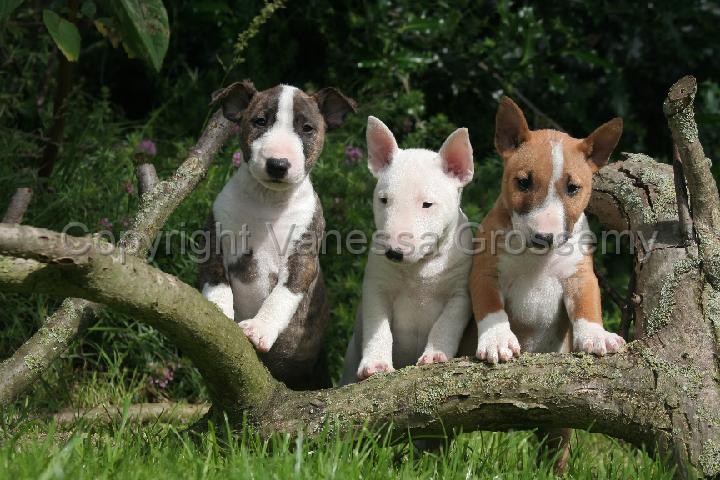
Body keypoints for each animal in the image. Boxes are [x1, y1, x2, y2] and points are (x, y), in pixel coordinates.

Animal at [198, 80, 356, 390]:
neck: (268, 200)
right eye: (260, 121)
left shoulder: (302, 260)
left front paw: (259, 328)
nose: (278, 164)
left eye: (307, 128)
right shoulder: (214, 246)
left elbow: (280, 297)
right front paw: (221, 317)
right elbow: (217, 284)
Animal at [341, 116, 474, 384]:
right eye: (383, 200)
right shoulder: (376, 288)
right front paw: (376, 365)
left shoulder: (460, 292)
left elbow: (447, 323)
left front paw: (434, 356)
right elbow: (378, 327)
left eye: (427, 204)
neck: (418, 268)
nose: (393, 252)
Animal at [466, 96, 625, 471]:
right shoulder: (484, 273)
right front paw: (498, 341)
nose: (544, 237)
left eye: (573, 188)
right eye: (523, 182)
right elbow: (491, 308)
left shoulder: (581, 276)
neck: (536, 260)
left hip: (558, 421)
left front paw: (596, 336)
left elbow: (587, 306)